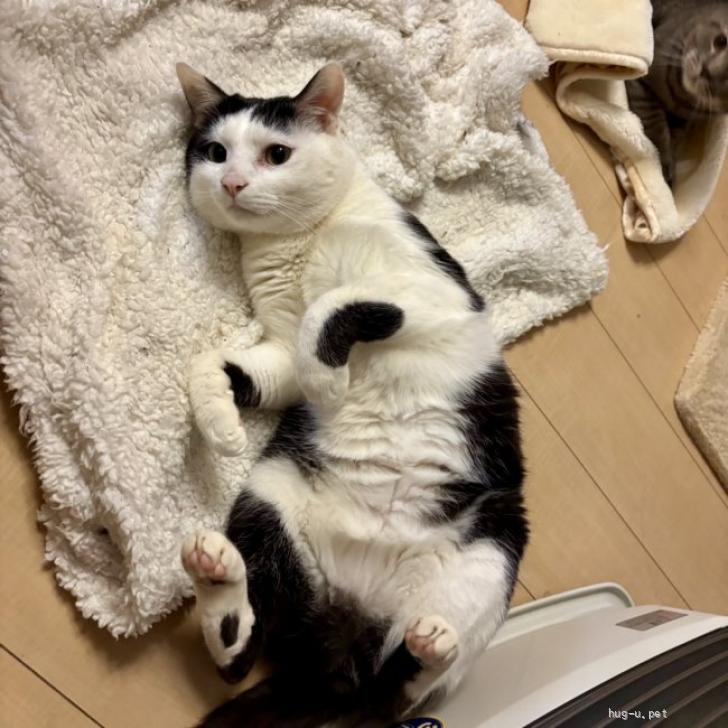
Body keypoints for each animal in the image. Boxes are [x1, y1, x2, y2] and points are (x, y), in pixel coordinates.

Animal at [177, 61, 527, 728]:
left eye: (277, 153)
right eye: (215, 152)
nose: (232, 182)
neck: (301, 242)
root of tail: (341, 644)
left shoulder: (431, 298)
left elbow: (334, 308)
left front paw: (328, 381)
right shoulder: (280, 342)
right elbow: (221, 362)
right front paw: (221, 424)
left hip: (496, 543)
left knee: (397, 693)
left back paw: (430, 645)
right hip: (269, 494)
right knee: (245, 648)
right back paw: (217, 573)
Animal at [626, 0, 728, 186]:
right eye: (720, 41)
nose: (706, 71)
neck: (682, 99)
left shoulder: (683, 120)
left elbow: (676, 136)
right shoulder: (642, 81)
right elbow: (657, 124)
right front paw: (663, 166)